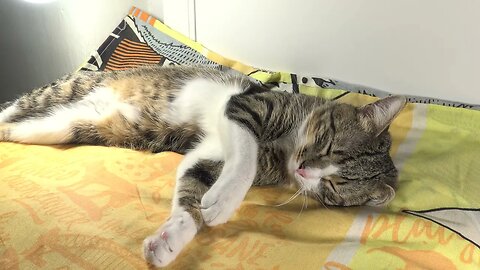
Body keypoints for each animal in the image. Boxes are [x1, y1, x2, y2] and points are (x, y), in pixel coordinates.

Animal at [0, 65, 404, 266]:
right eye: (329, 145)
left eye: (332, 188)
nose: (306, 171)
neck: (287, 147)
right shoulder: (244, 107)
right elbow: (245, 155)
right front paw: (224, 201)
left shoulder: (205, 154)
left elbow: (191, 192)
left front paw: (172, 237)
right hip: (59, 93)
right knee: (10, 108)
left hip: (63, 126)